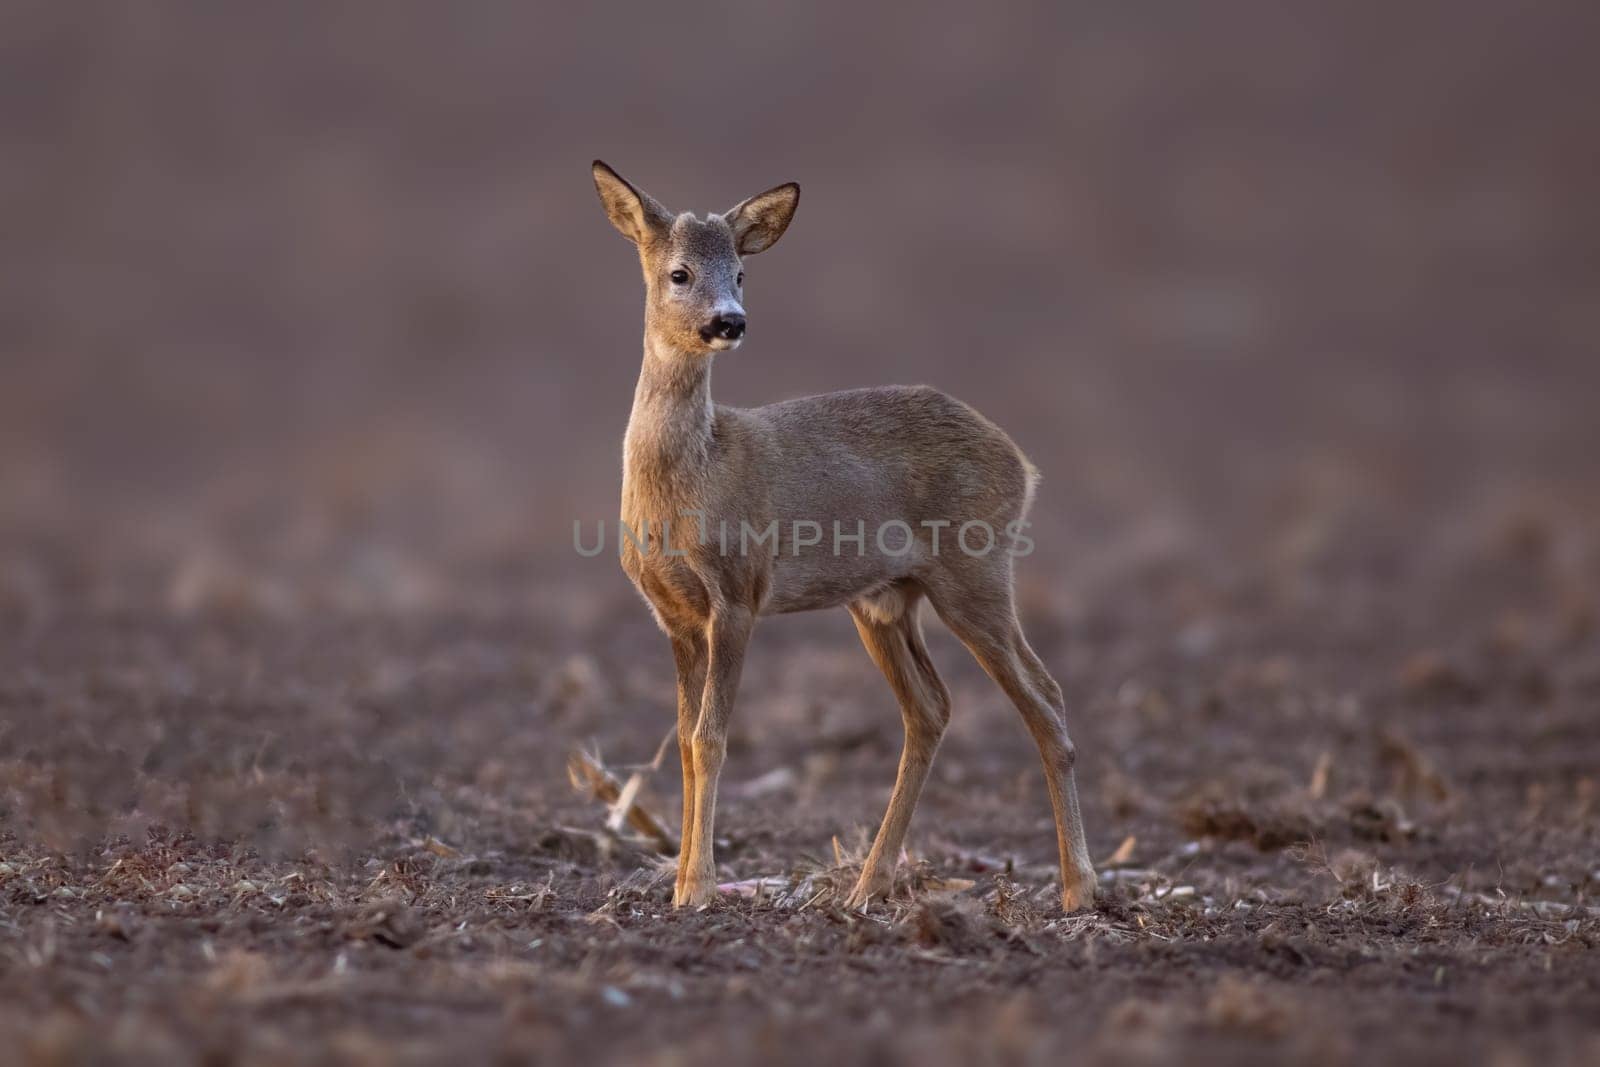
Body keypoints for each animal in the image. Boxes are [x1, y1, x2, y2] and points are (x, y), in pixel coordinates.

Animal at [595, 163, 1094, 915]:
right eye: (679, 272)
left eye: (741, 272)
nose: (729, 321)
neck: (690, 479)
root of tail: (1022, 463)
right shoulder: (673, 614)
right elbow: (682, 740)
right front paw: (681, 877)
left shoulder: (738, 592)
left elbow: (713, 738)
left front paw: (698, 887)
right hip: (884, 600)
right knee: (931, 707)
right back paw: (867, 884)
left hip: (975, 570)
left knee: (1046, 697)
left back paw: (1078, 888)